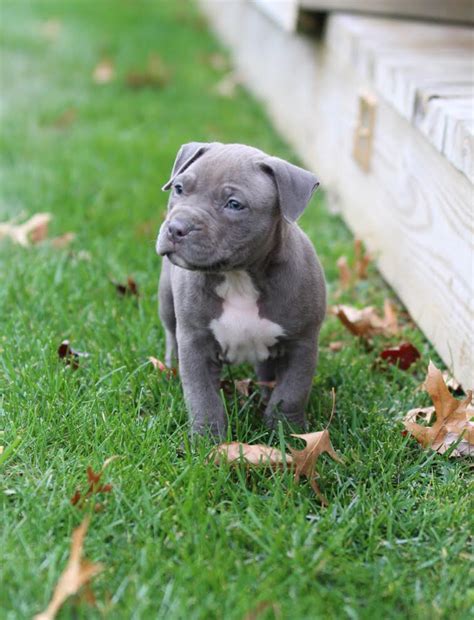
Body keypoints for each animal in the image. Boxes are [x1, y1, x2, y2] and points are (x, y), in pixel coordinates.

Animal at [156, 143, 326, 438]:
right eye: (178, 188)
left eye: (234, 204)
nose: (176, 228)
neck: (239, 277)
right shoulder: (195, 342)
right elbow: (202, 396)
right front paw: (207, 440)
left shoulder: (302, 343)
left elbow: (291, 392)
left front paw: (287, 432)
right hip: (166, 300)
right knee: (170, 332)